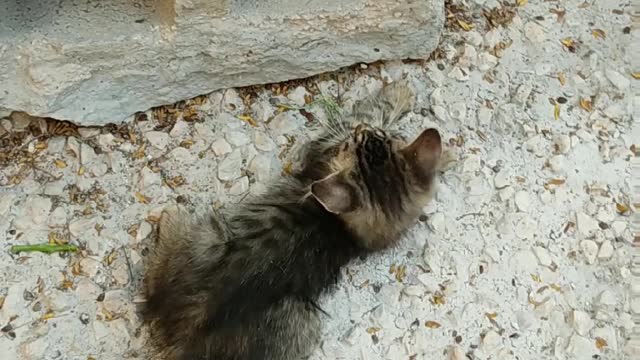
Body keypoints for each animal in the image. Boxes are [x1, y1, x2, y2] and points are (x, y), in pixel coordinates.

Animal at [142, 81, 442, 360]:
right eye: (377, 137)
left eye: (355, 141)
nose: (362, 131)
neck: (343, 229)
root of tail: (183, 333)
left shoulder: (323, 146)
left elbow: (368, 111)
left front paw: (395, 94)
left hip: (213, 238)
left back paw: (171, 216)